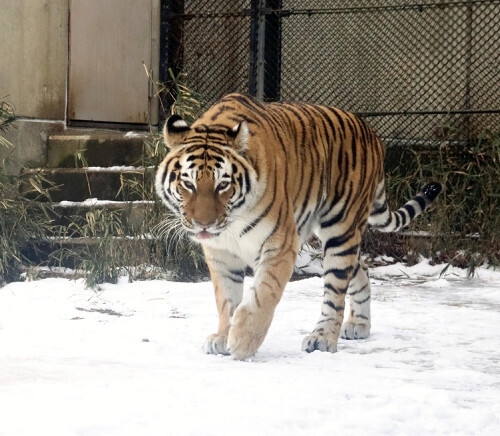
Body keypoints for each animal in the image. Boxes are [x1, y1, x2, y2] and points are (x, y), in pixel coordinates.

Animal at [153, 93, 442, 360]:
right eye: (188, 184)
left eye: (222, 184)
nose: (204, 224)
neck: (232, 223)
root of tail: (371, 132)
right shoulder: (220, 252)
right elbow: (226, 298)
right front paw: (224, 336)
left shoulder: (280, 243)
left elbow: (263, 294)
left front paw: (243, 340)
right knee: (362, 272)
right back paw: (359, 325)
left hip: (340, 230)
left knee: (335, 291)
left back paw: (322, 338)